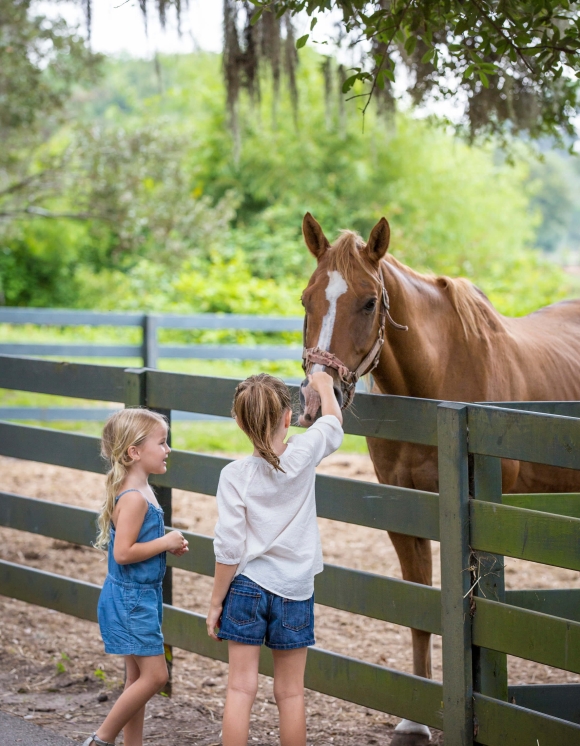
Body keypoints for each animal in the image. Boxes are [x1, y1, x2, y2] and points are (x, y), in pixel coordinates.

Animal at [296, 212, 580, 740]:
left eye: (369, 301)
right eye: (307, 298)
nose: (316, 397)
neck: (436, 379)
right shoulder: (404, 510)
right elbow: (419, 608)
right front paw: (414, 722)